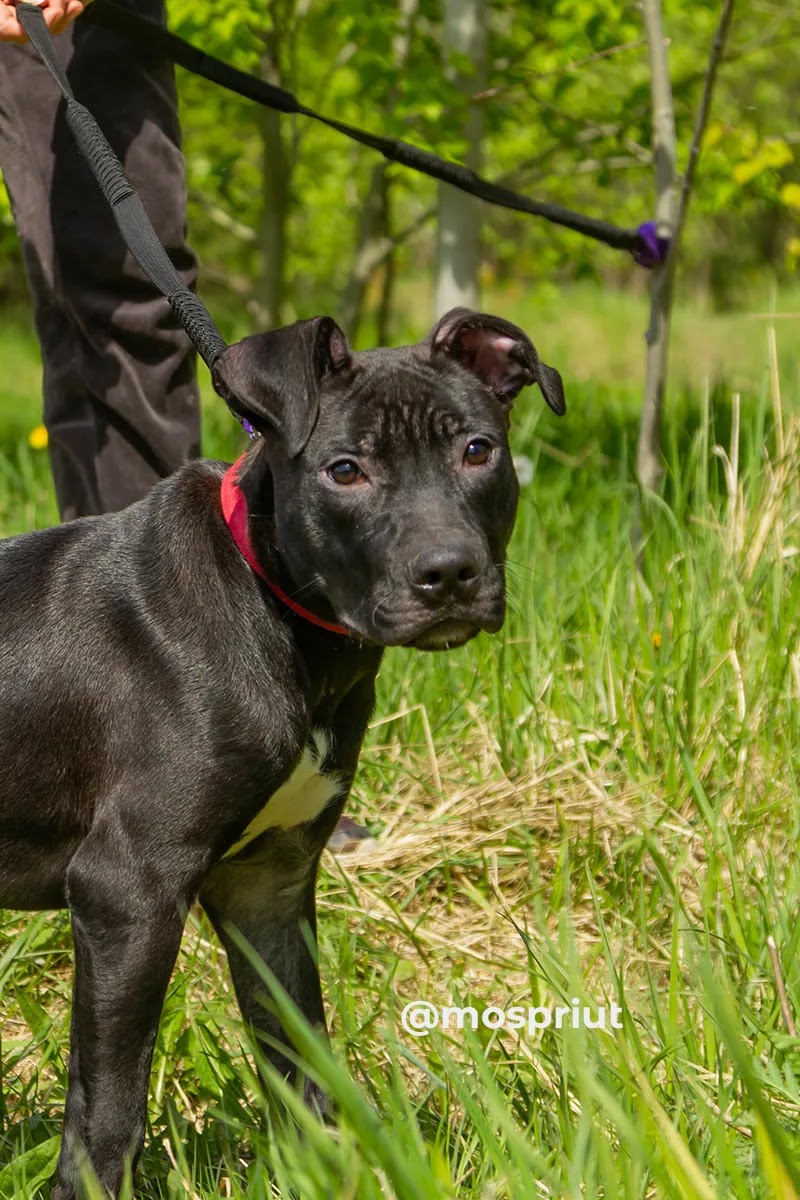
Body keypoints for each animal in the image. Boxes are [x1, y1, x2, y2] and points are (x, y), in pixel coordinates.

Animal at [0, 307, 563, 1190]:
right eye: (345, 470)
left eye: (478, 450)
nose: (449, 574)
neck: (277, 610)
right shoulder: (127, 890)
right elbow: (108, 1108)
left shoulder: (269, 883)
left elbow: (303, 1064)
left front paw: (332, 1176)